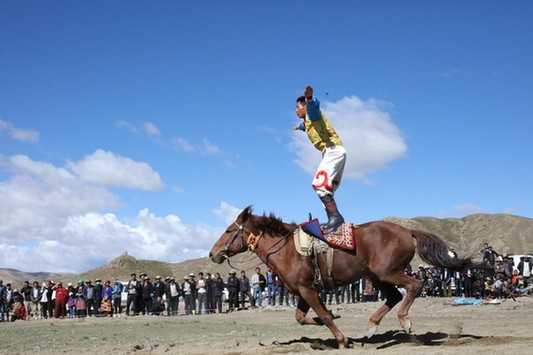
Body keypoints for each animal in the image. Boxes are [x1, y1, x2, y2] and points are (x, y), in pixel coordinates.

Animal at [209, 207, 482, 350]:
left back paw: (404, 322)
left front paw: (341, 340)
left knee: (415, 286)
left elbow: (325, 317)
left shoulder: (308, 291)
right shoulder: (303, 291)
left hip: (388, 272)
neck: (286, 249)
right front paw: (330, 324)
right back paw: (371, 327)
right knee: (394, 296)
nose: (213, 253)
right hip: (378, 276)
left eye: (229, 230)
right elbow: (303, 318)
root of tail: (407, 231)